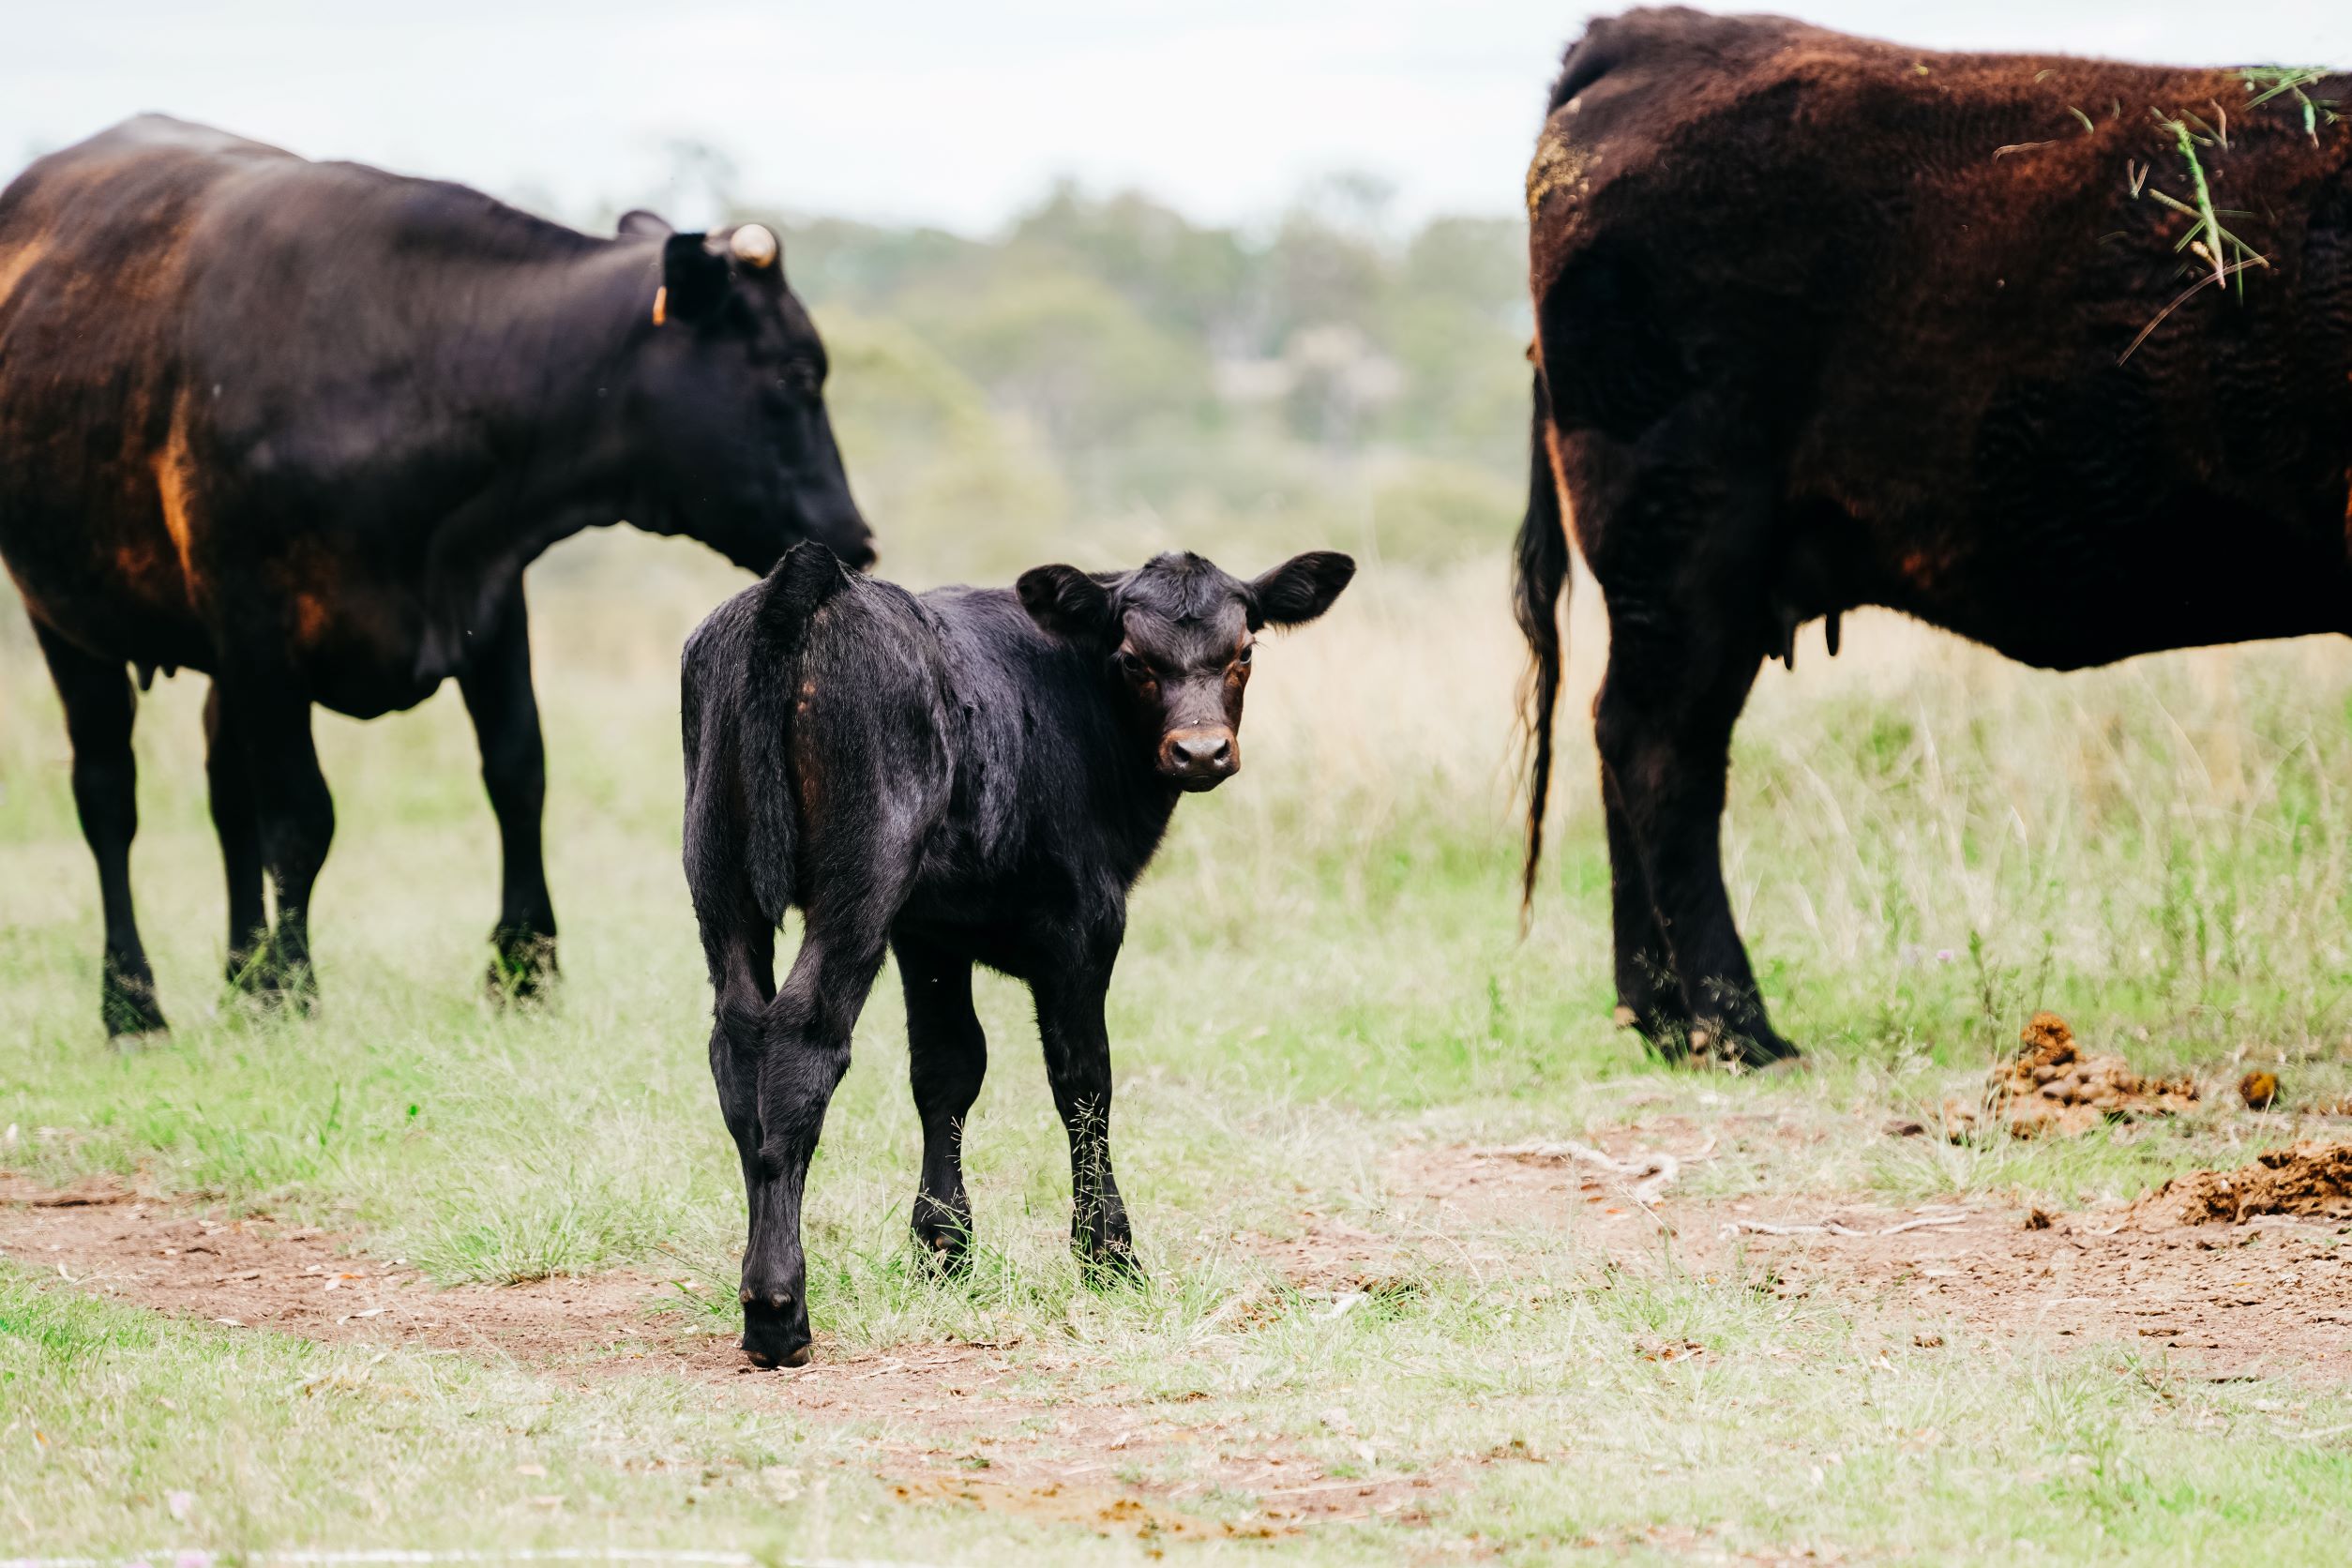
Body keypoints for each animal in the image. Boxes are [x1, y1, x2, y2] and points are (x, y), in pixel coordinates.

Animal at [0, 116, 875, 1035]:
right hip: (65, 622)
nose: (855, 536)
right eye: (795, 374)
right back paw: (134, 1005)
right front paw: (295, 984)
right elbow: (301, 815)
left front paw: (523, 968)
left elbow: (518, 774)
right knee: (109, 798)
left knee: (225, 796)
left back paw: (240, 982)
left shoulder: (487, 599)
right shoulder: (258, 632)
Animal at [682, 542, 1353, 1367]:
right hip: (860, 878)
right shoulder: (1085, 923)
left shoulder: (929, 932)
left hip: (721, 877)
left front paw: (943, 1249)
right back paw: (778, 1311)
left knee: (737, 1044)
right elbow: (1084, 1082)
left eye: (1244, 651)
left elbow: (945, 1071)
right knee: (804, 1040)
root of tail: (809, 578)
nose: (1200, 752)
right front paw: (1108, 1255)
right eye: (1133, 658)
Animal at [1513, 10, 2352, 1065]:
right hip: (1688, 545)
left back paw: (1665, 1019)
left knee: (1625, 743)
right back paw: (1740, 1029)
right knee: (1660, 748)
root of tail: (1655, 33)